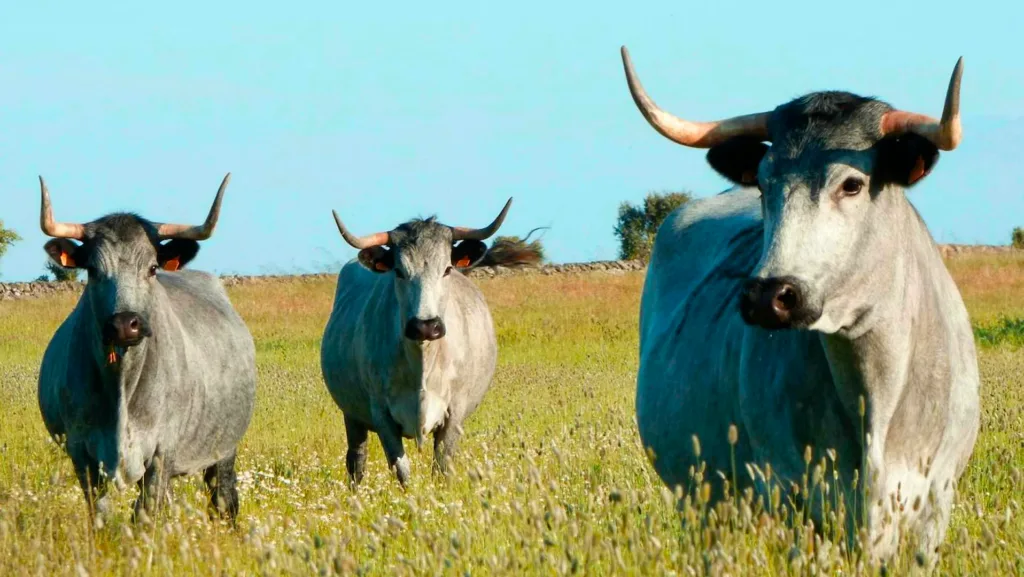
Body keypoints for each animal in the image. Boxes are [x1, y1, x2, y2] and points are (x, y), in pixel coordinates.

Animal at [36, 174, 256, 525]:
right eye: (93, 270)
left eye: (153, 268)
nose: (125, 324)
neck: (122, 385)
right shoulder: (81, 452)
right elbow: (100, 513)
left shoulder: (161, 452)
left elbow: (146, 513)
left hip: (223, 448)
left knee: (223, 497)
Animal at [320, 199, 512, 486]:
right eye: (399, 271)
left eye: (447, 269)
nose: (425, 326)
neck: (423, 361)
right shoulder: (381, 416)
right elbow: (402, 470)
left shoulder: (454, 414)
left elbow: (442, 466)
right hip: (352, 415)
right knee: (356, 459)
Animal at [621, 46, 979, 565]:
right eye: (764, 184)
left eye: (851, 184)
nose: (769, 295)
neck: (877, 391)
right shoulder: (795, 499)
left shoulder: (934, 505)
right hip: (702, 502)